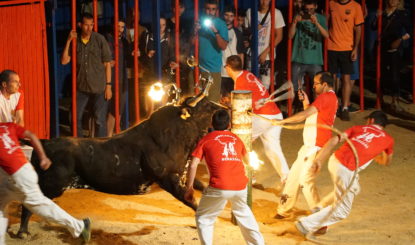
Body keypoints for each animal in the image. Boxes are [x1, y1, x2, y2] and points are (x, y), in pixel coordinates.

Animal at [17, 97, 223, 237]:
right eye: (206, 105)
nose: (224, 107)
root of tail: (44, 142)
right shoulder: (169, 179)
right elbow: (191, 200)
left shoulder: (183, 175)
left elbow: (201, 187)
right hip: (50, 185)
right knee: (29, 205)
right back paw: (22, 232)